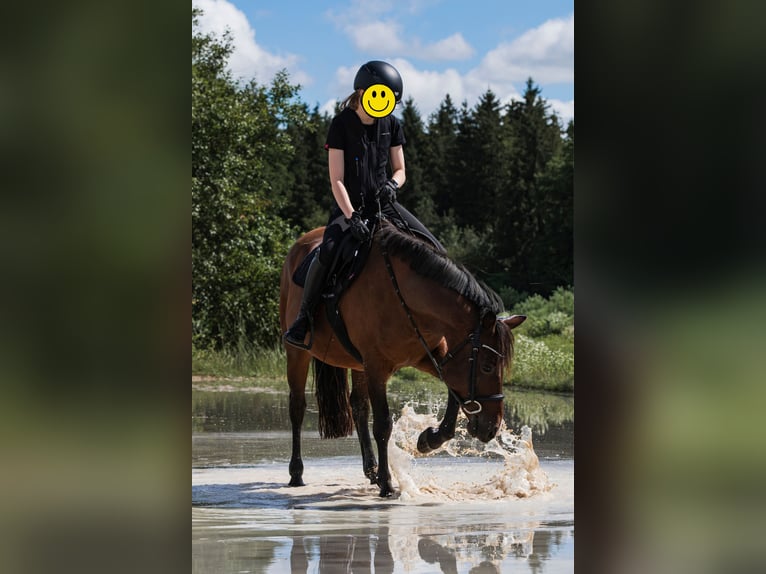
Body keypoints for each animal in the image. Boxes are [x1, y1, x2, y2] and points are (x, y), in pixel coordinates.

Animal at [278, 222, 526, 498]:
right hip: (297, 353)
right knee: (297, 407)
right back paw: (297, 473)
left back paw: (371, 470)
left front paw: (429, 439)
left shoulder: (431, 357)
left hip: (358, 364)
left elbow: (454, 397)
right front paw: (387, 483)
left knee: (358, 407)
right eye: (487, 366)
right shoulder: (377, 367)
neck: (403, 297)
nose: (492, 428)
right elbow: (383, 425)